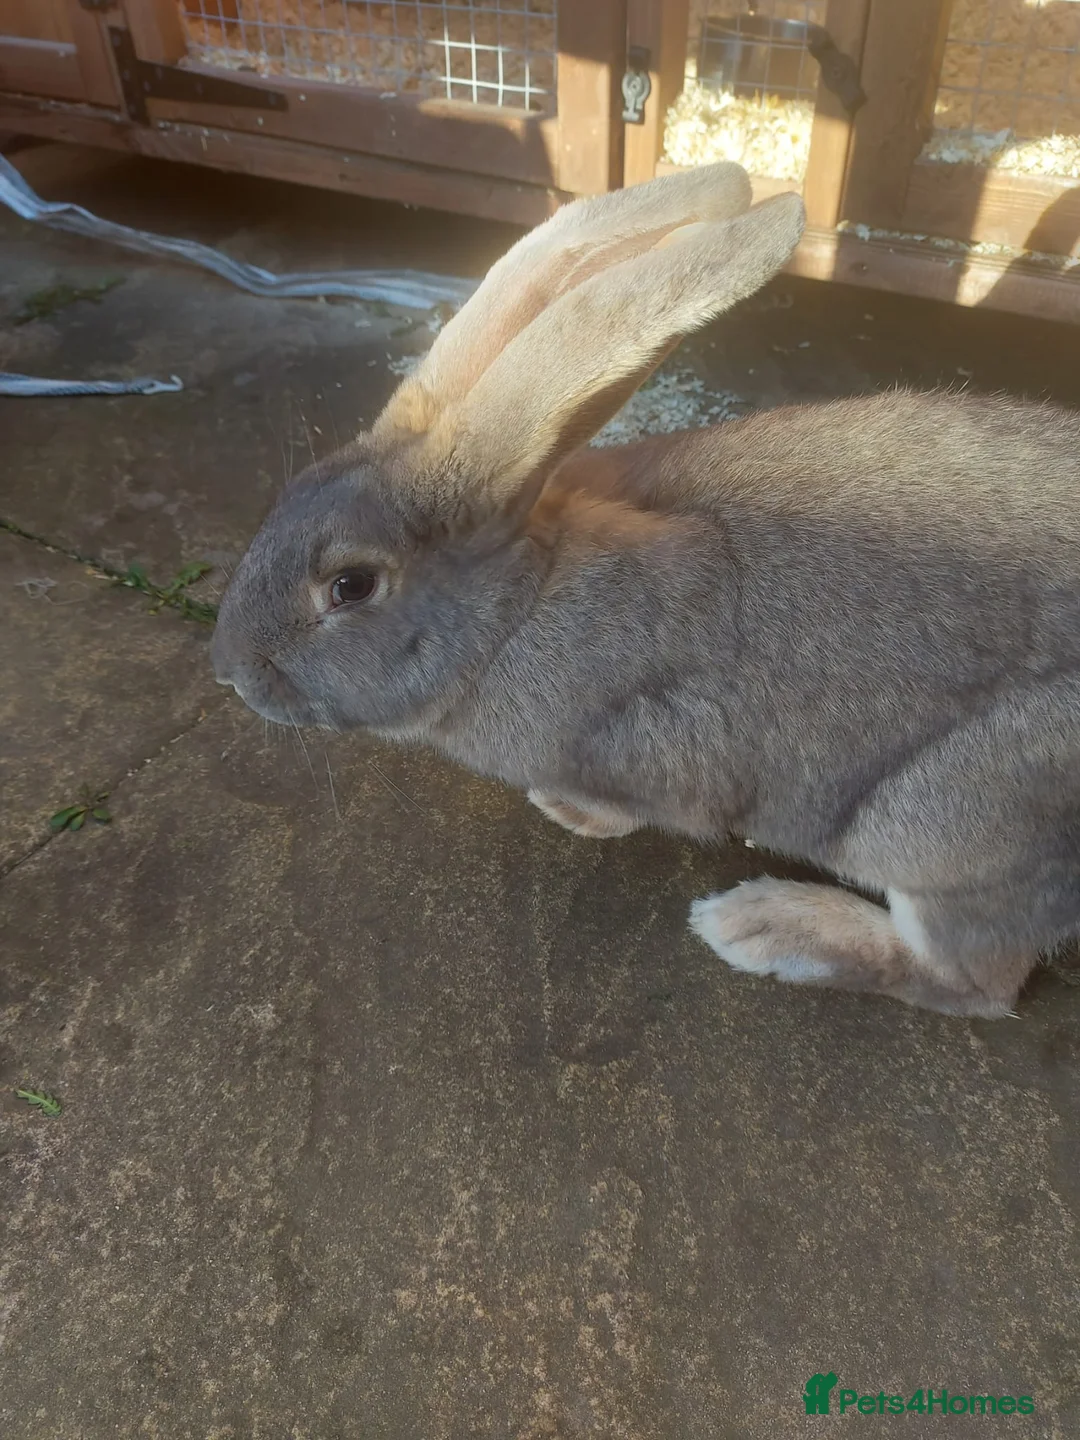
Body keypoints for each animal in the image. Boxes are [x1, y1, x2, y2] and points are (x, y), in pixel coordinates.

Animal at [212, 159, 1080, 1019]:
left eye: (350, 586)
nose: (232, 671)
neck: (519, 606)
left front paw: (567, 810)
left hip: (948, 829)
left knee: (970, 981)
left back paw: (760, 927)